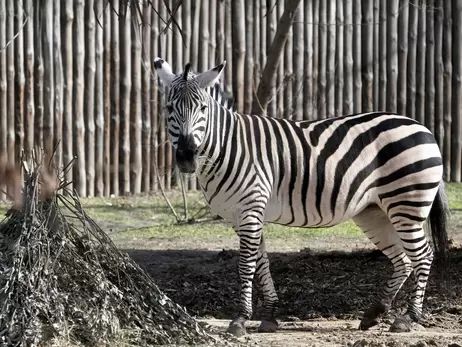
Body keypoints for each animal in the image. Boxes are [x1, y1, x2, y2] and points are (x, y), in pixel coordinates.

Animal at [153, 58, 450, 338]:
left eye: (203, 109)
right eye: (169, 109)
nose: (186, 157)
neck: (227, 148)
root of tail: (422, 127)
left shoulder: (250, 210)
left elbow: (246, 265)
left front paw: (240, 319)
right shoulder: (243, 216)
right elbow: (262, 263)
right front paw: (270, 315)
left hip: (406, 204)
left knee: (423, 255)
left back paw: (408, 318)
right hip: (373, 212)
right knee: (403, 259)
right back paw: (375, 313)